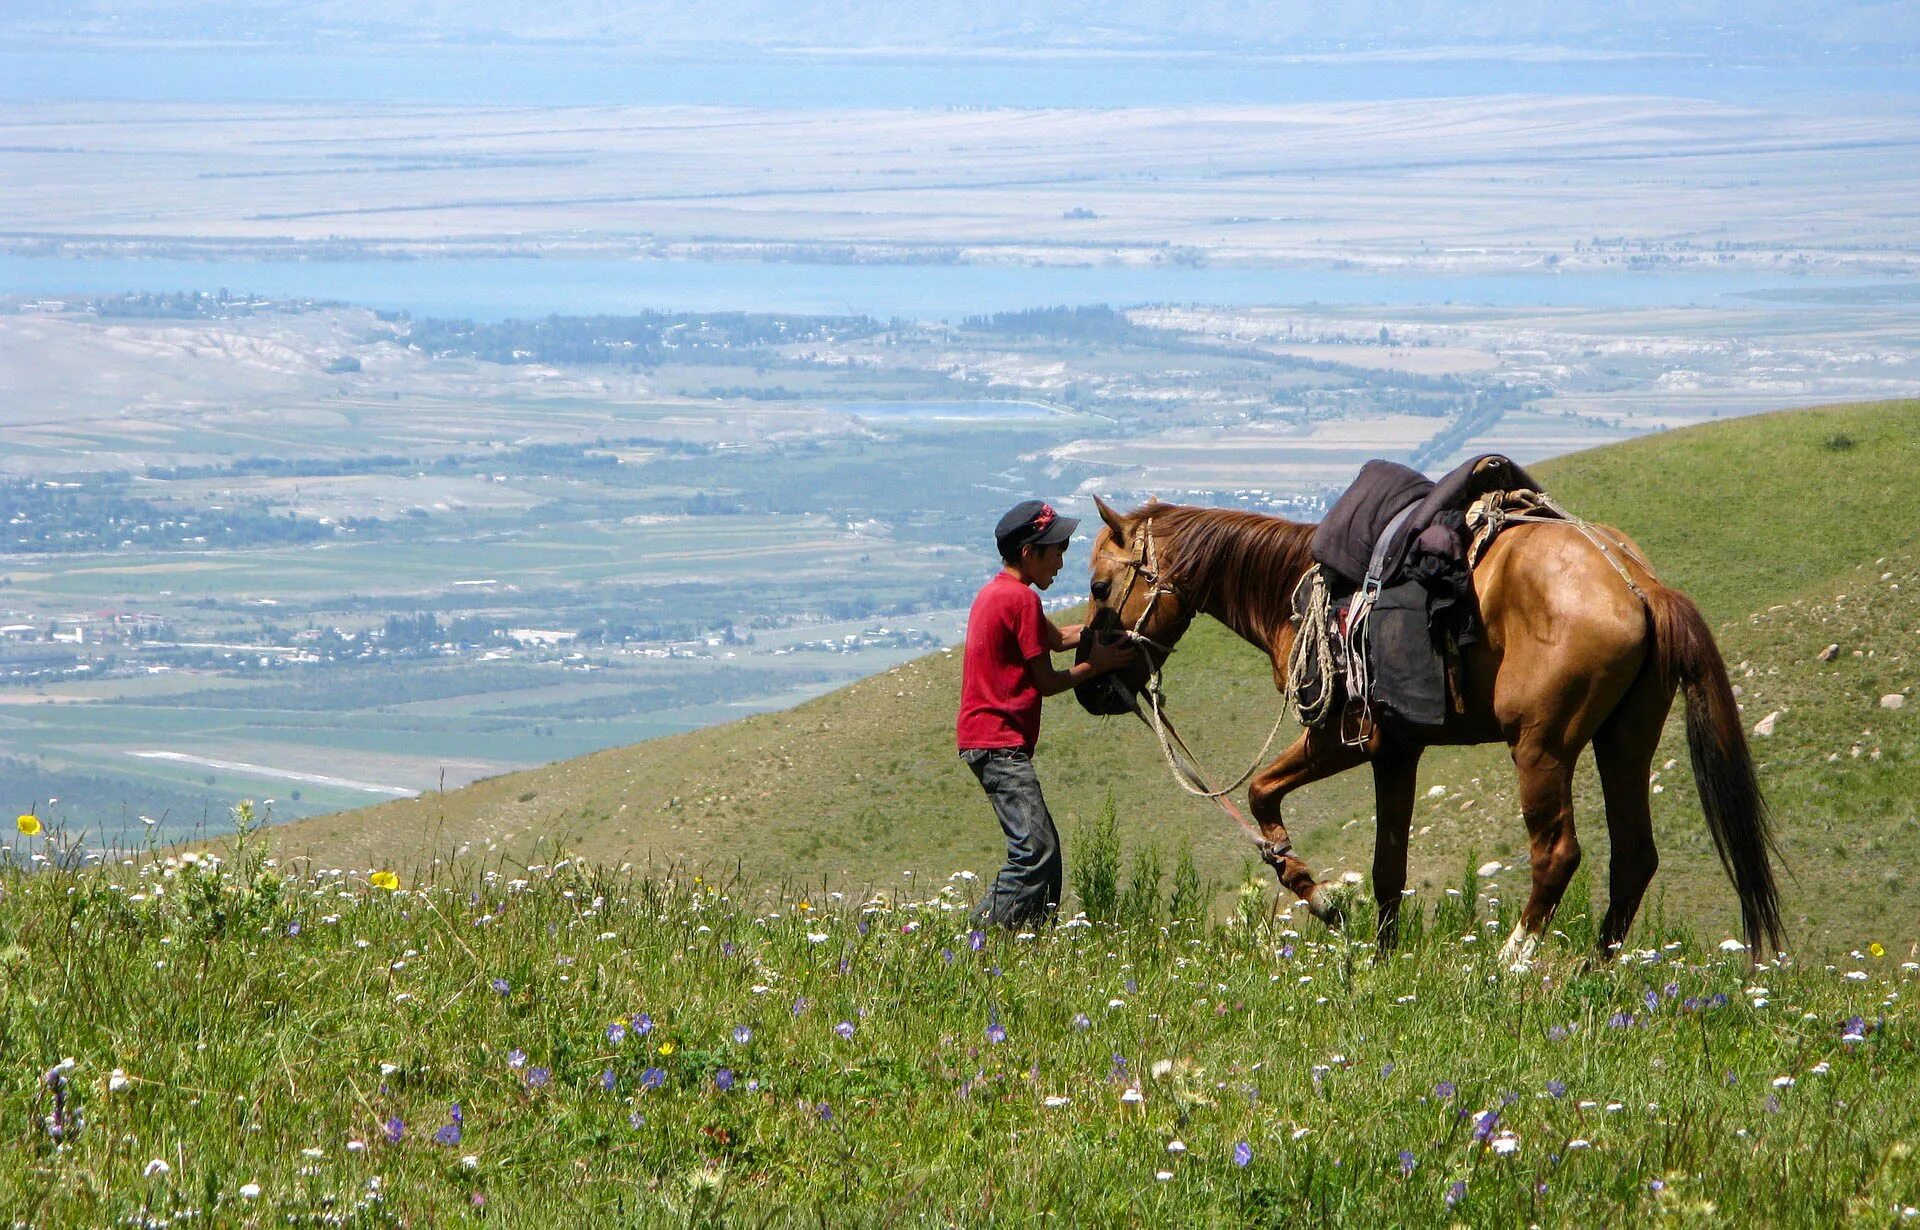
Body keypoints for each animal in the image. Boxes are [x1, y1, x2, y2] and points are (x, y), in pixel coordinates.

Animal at [1090, 495, 1774, 959]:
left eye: (1098, 585)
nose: (1097, 689)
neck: (1292, 591)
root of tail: (1639, 586)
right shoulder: (1397, 751)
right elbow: (1388, 863)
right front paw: (1382, 958)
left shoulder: (1342, 739)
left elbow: (1261, 793)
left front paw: (1319, 897)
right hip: (1624, 743)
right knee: (1633, 855)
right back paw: (1590, 971)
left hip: (1542, 749)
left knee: (1558, 853)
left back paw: (1510, 965)